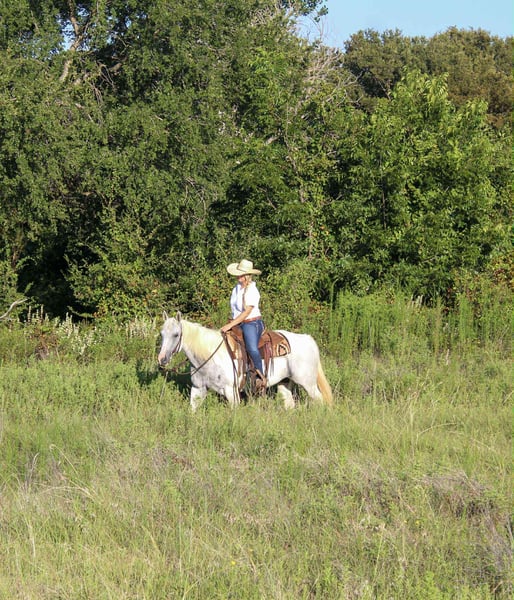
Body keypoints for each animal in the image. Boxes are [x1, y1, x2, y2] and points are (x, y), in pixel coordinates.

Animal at [157, 312, 333, 411]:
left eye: (176, 334)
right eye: (161, 334)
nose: (162, 359)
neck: (210, 357)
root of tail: (308, 339)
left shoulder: (231, 391)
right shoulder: (198, 388)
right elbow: (192, 411)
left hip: (307, 383)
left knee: (320, 400)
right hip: (285, 382)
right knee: (290, 404)